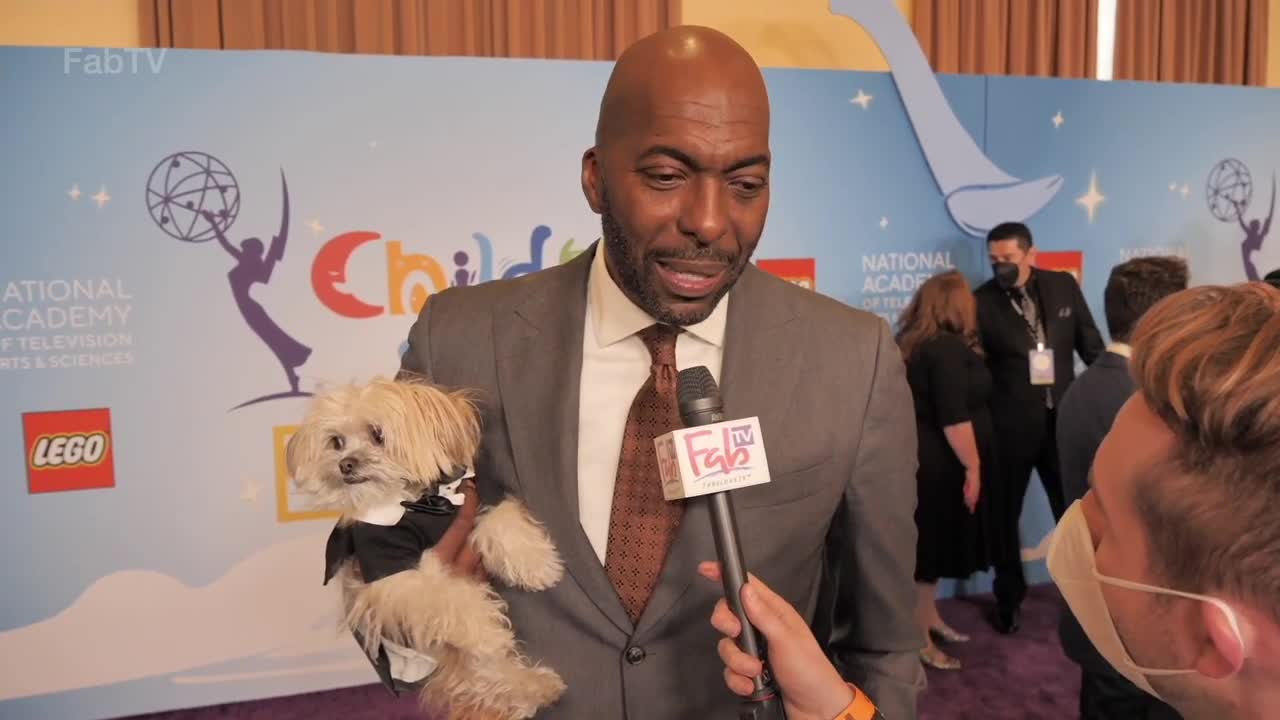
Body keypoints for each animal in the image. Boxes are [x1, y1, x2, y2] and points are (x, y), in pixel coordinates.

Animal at [290, 376, 570, 717]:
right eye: (336, 442)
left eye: (377, 434)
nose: (346, 465)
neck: (420, 505)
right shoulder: (394, 575)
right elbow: (447, 598)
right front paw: (486, 630)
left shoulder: (467, 507)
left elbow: (499, 517)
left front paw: (537, 564)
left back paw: (538, 687)